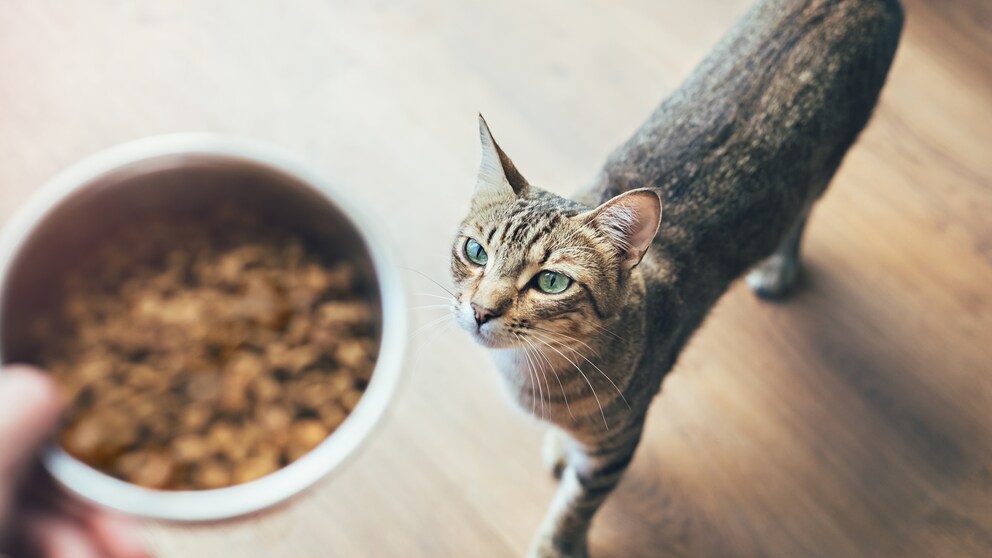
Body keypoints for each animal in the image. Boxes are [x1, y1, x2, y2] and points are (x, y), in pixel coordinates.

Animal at [454, 0, 904, 556]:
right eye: (476, 251)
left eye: (552, 283)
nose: (480, 310)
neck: (533, 371)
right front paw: (561, 442)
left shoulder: (618, 446)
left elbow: (577, 504)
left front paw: (557, 544)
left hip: (824, 166)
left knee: (801, 214)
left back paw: (779, 267)